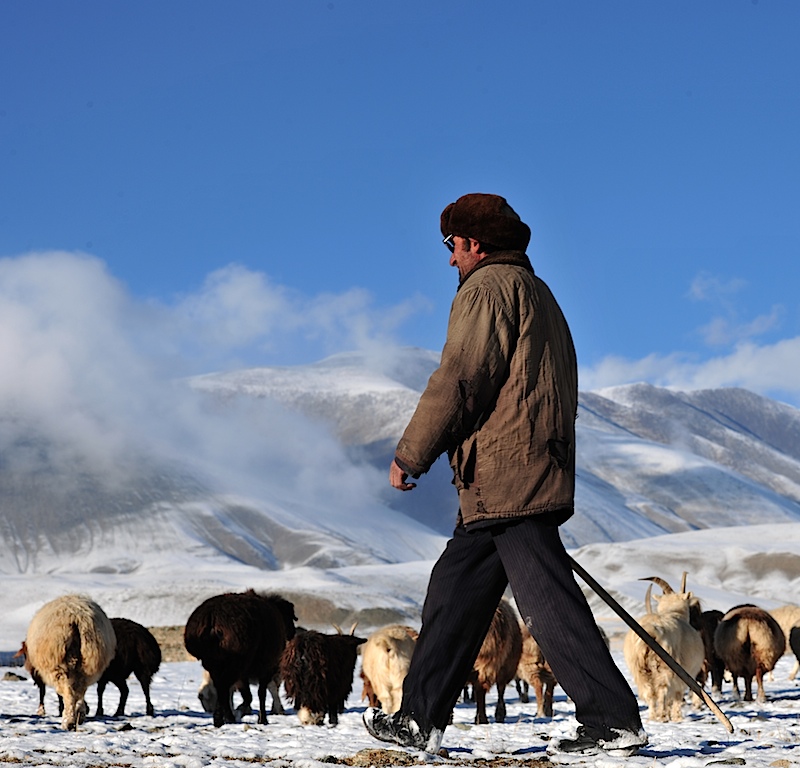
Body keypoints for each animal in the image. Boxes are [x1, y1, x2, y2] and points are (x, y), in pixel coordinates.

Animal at [24, 592, 115, 732]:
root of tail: (75, 617)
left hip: (59, 664)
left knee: (68, 692)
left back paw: (68, 722)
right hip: (89, 662)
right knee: (80, 689)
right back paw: (78, 716)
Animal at [184, 592, 296, 728]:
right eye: (290, 617)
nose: (293, 633)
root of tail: (212, 619)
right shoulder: (265, 668)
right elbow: (260, 694)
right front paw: (261, 719)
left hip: (214, 663)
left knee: (221, 688)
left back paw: (224, 718)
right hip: (236, 662)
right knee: (225, 688)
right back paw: (225, 717)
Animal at [620, 572, 704, 724]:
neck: (674, 613)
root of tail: (651, 631)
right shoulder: (683, 674)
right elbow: (676, 695)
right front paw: (676, 717)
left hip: (639, 668)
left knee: (649, 692)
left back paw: (653, 717)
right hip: (665, 667)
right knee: (663, 691)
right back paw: (663, 716)